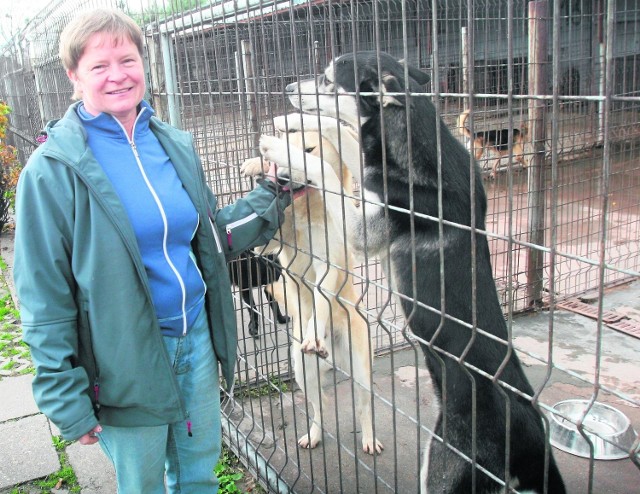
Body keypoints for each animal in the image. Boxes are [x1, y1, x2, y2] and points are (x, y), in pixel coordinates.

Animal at [239, 116, 380, 456]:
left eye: (309, 150)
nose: (282, 179)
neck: (306, 208)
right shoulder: (269, 246)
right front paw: (256, 163)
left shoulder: (327, 264)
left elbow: (320, 297)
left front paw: (314, 333)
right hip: (303, 371)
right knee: (321, 406)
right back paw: (314, 434)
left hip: (361, 370)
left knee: (364, 407)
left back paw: (369, 438)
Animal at [255, 52, 564, 492]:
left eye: (328, 79)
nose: (288, 90)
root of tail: (528, 437)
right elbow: (346, 139)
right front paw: (287, 123)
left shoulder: (362, 230)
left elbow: (328, 171)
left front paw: (283, 148)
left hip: (439, 466)